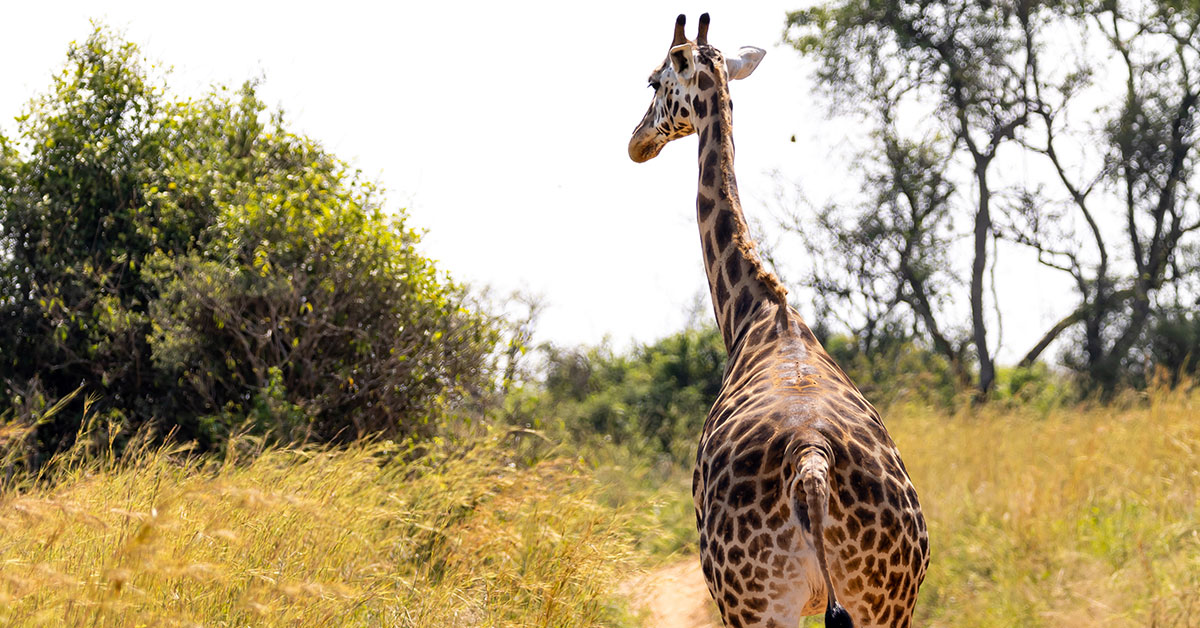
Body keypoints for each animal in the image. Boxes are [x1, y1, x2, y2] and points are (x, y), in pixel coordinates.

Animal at [628, 14, 929, 628]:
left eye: (653, 81)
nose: (636, 142)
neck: (759, 313)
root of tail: (811, 464)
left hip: (755, 603)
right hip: (886, 600)